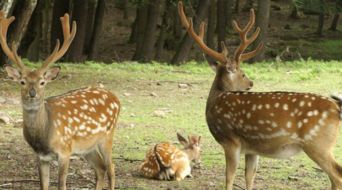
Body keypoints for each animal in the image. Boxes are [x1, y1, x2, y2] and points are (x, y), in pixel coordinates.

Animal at [1, 12, 120, 190]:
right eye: (22, 81)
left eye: (42, 82)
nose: (32, 93)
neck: (44, 136)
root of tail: (116, 98)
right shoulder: (41, 157)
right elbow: (43, 186)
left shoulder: (65, 151)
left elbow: (61, 185)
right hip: (87, 147)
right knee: (100, 168)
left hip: (107, 136)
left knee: (111, 168)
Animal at [179, 1, 342, 190]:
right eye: (243, 74)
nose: (251, 83)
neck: (215, 101)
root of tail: (337, 108)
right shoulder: (252, 149)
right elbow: (249, 176)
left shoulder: (231, 140)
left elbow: (229, 177)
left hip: (317, 143)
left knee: (337, 175)